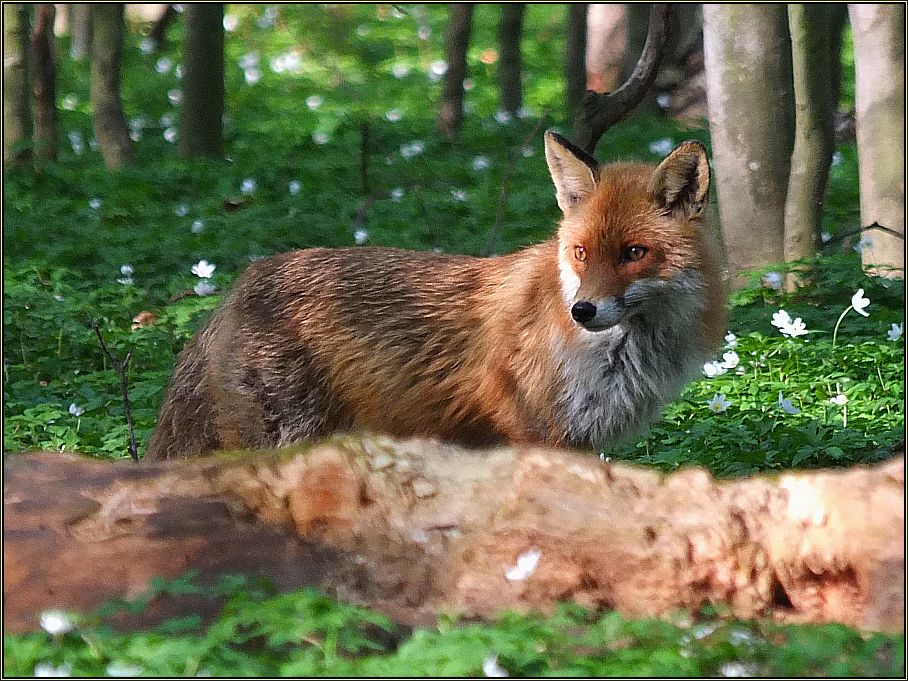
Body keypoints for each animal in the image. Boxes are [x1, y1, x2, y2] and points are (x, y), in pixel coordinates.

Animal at [145, 131, 728, 462]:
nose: (582, 310)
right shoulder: (538, 433)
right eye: (582, 253)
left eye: (634, 253)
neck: (619, 357)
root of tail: (235, 290)